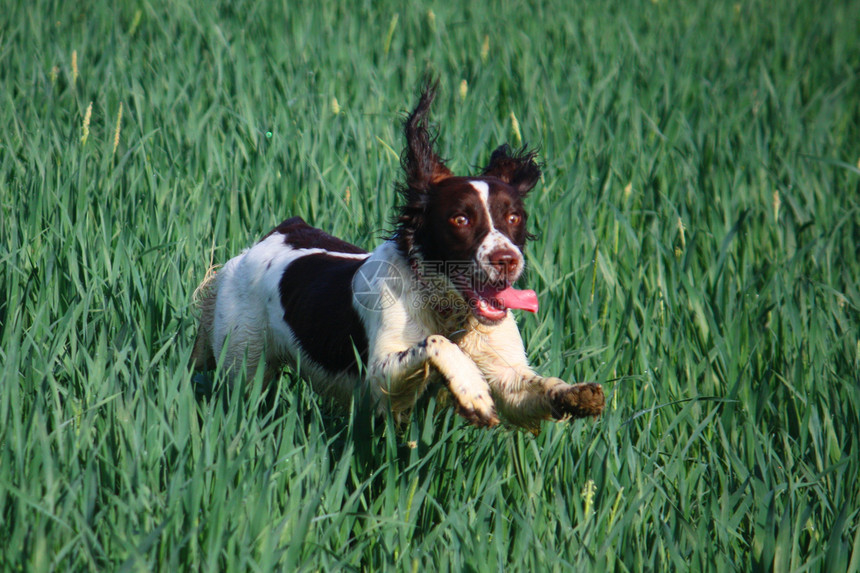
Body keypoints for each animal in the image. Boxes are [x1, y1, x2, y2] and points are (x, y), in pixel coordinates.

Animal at [192, 82, 604, 426]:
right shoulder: (380, 379)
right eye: (461, 218)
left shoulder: (507, 374)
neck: (448, 311)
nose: (507, 260)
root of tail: (268, 238)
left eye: (514, 217)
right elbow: (435, 345)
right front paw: (471, 389)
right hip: (243, 360)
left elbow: (530, 387)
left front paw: (578, 393)